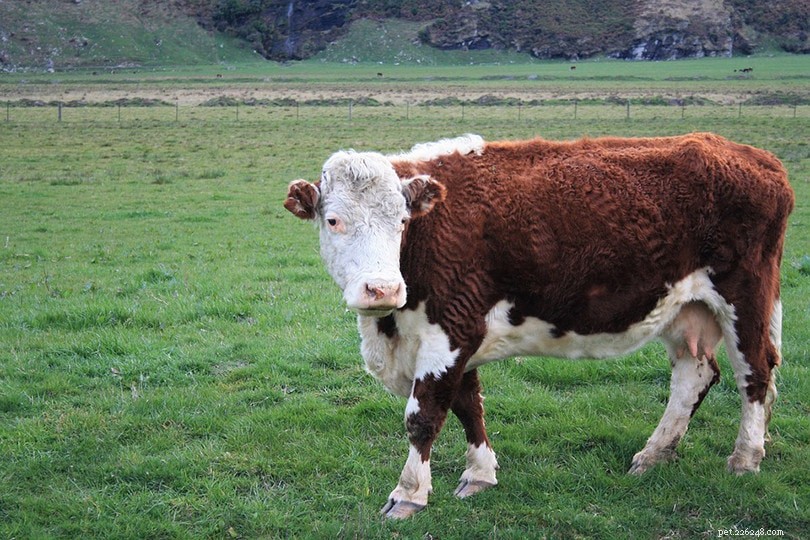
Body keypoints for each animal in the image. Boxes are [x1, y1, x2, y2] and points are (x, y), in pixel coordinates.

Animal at [283, 133, 793, 519]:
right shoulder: (458, 333)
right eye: (333, 220)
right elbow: (469, 404)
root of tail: (752, 155)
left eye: (402, 220)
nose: (383, 289)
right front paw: (480, 474)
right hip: (685, 306)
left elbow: (424, 416)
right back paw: (654, 454)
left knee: (755, 373)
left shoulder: (452, 328)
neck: (390, 329)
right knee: (696, 374)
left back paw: (745, 458)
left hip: (745, 294)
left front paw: (408, 495)